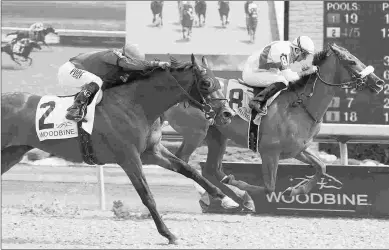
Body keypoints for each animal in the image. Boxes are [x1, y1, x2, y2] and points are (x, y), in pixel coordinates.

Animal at [0, 54, 236, 244]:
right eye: (206, 83)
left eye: (217, 81)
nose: (227, 113)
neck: (136, 104)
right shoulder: (129, 157)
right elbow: (147, 196)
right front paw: (168, 234)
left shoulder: (152, 152)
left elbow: (190, 170)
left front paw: (225, 198)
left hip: (12, 153)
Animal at [162, 43, 384, 211]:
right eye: (352, 61)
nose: (379, 82)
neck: (300, 105)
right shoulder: (270, 151)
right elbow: (269, 188)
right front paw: (246, 188)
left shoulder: (296, 150)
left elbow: (321, 167)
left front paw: (296, 191)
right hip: (197, 131)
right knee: (184, 161)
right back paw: (235, 195)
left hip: (217, 135)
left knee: (212, 169)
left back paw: (234, 198)